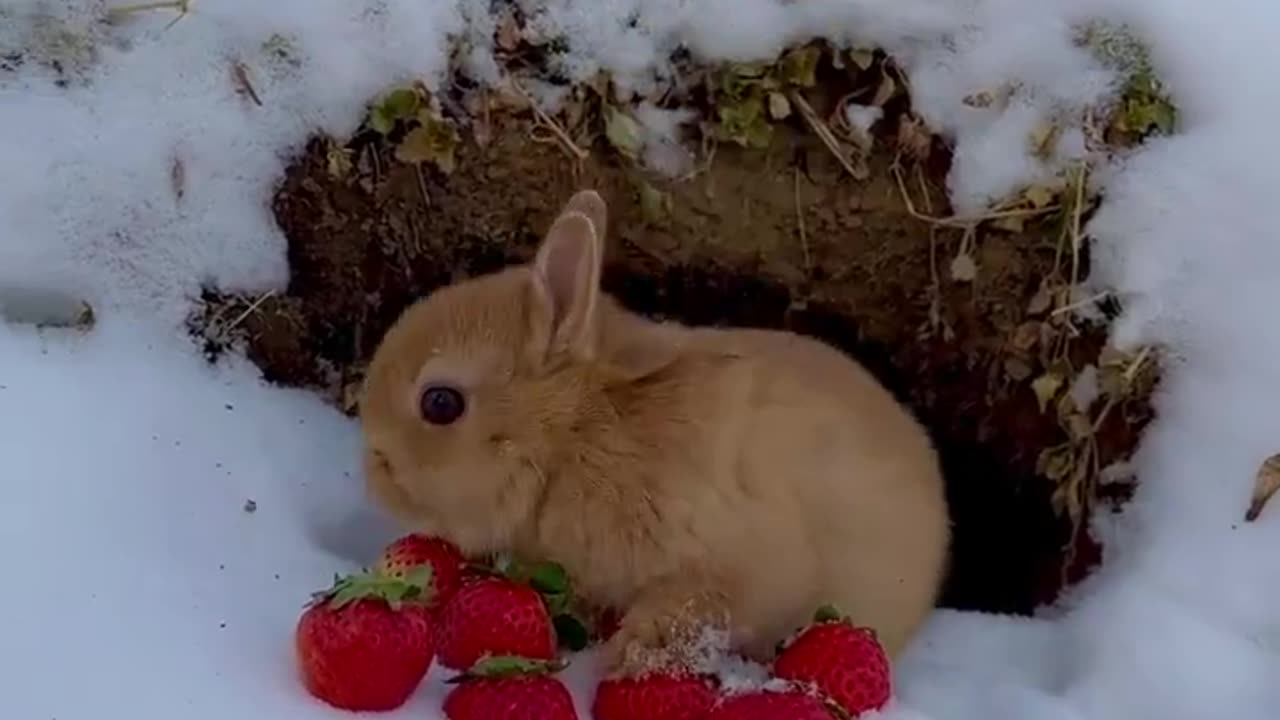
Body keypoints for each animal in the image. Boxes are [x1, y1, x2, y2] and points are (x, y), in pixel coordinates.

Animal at [358, 189, 951, 676]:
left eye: (440, 403)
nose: (373, 470)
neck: (573, 434)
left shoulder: (735, 563)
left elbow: (698, 608)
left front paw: (632, 657)